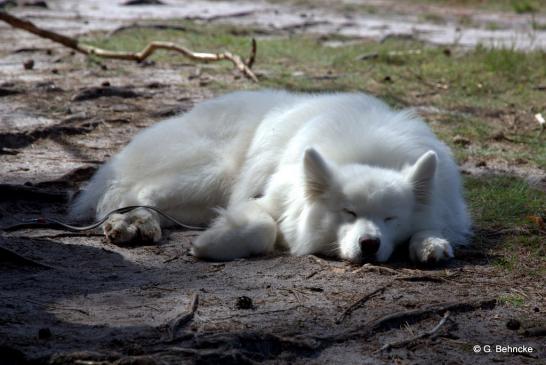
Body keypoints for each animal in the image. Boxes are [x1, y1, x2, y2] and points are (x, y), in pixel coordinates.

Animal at [71, 90, 468, 264]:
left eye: (390, 218)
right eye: (349, 213)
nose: (369, 245)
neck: (367, 156)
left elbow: (432, 228)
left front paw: (430, 244)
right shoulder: (266, 199)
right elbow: (264, 227)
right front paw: (211, 245)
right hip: (208, 175)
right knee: (138, 190)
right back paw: (133, 222)